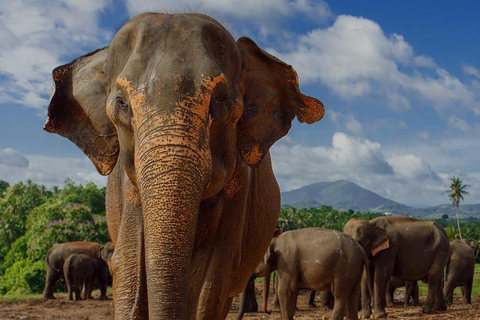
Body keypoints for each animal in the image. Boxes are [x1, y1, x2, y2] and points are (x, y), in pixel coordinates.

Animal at [43, 11, 324, 318]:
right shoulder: (128, 188)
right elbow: (128, 265)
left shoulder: (240, 186)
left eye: (221, 100)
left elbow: (213, 277)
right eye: (121, 103)